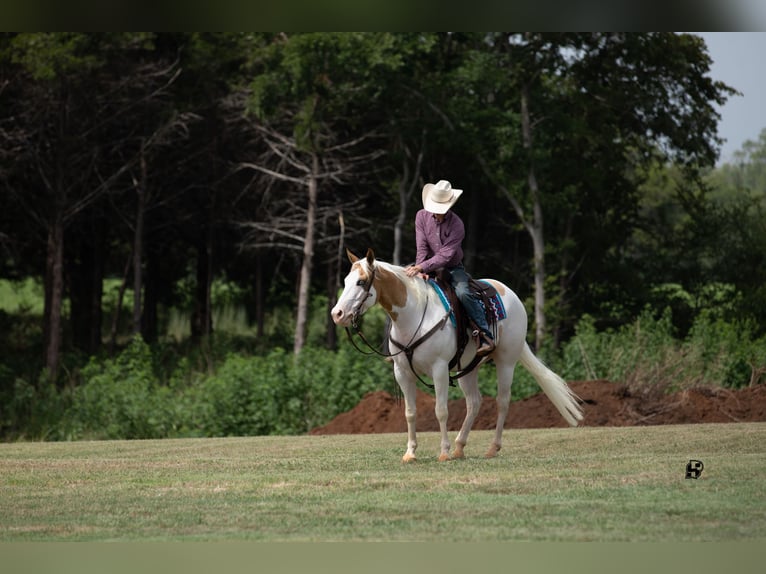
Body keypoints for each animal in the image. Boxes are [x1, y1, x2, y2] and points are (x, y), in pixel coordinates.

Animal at [332, 249, 588, 464]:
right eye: (345, 282)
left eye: (361, 282)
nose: (338, 314)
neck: (414, 315)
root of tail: (509, 293)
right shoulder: (402, 373)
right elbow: (410, 413)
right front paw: (411, 453)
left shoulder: (439, 369)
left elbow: (441, 410)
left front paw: (443, 452)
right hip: (467, 369)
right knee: (474, 403)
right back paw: (459, 447)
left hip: (506, 362)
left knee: (502, 401)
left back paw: (491, 448)